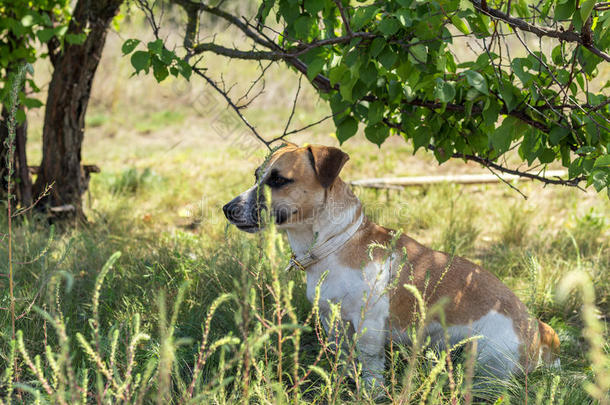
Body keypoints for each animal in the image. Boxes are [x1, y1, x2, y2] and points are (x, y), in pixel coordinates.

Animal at [221, 144, 560, 386]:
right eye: (257, 176)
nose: (227, 208)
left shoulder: (368, 327)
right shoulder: (333, 323)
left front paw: (371, 392)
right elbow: (342, 360)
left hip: (483, 359)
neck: (337, 242)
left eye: (278, 179)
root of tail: (536, 328)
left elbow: (371, 368)